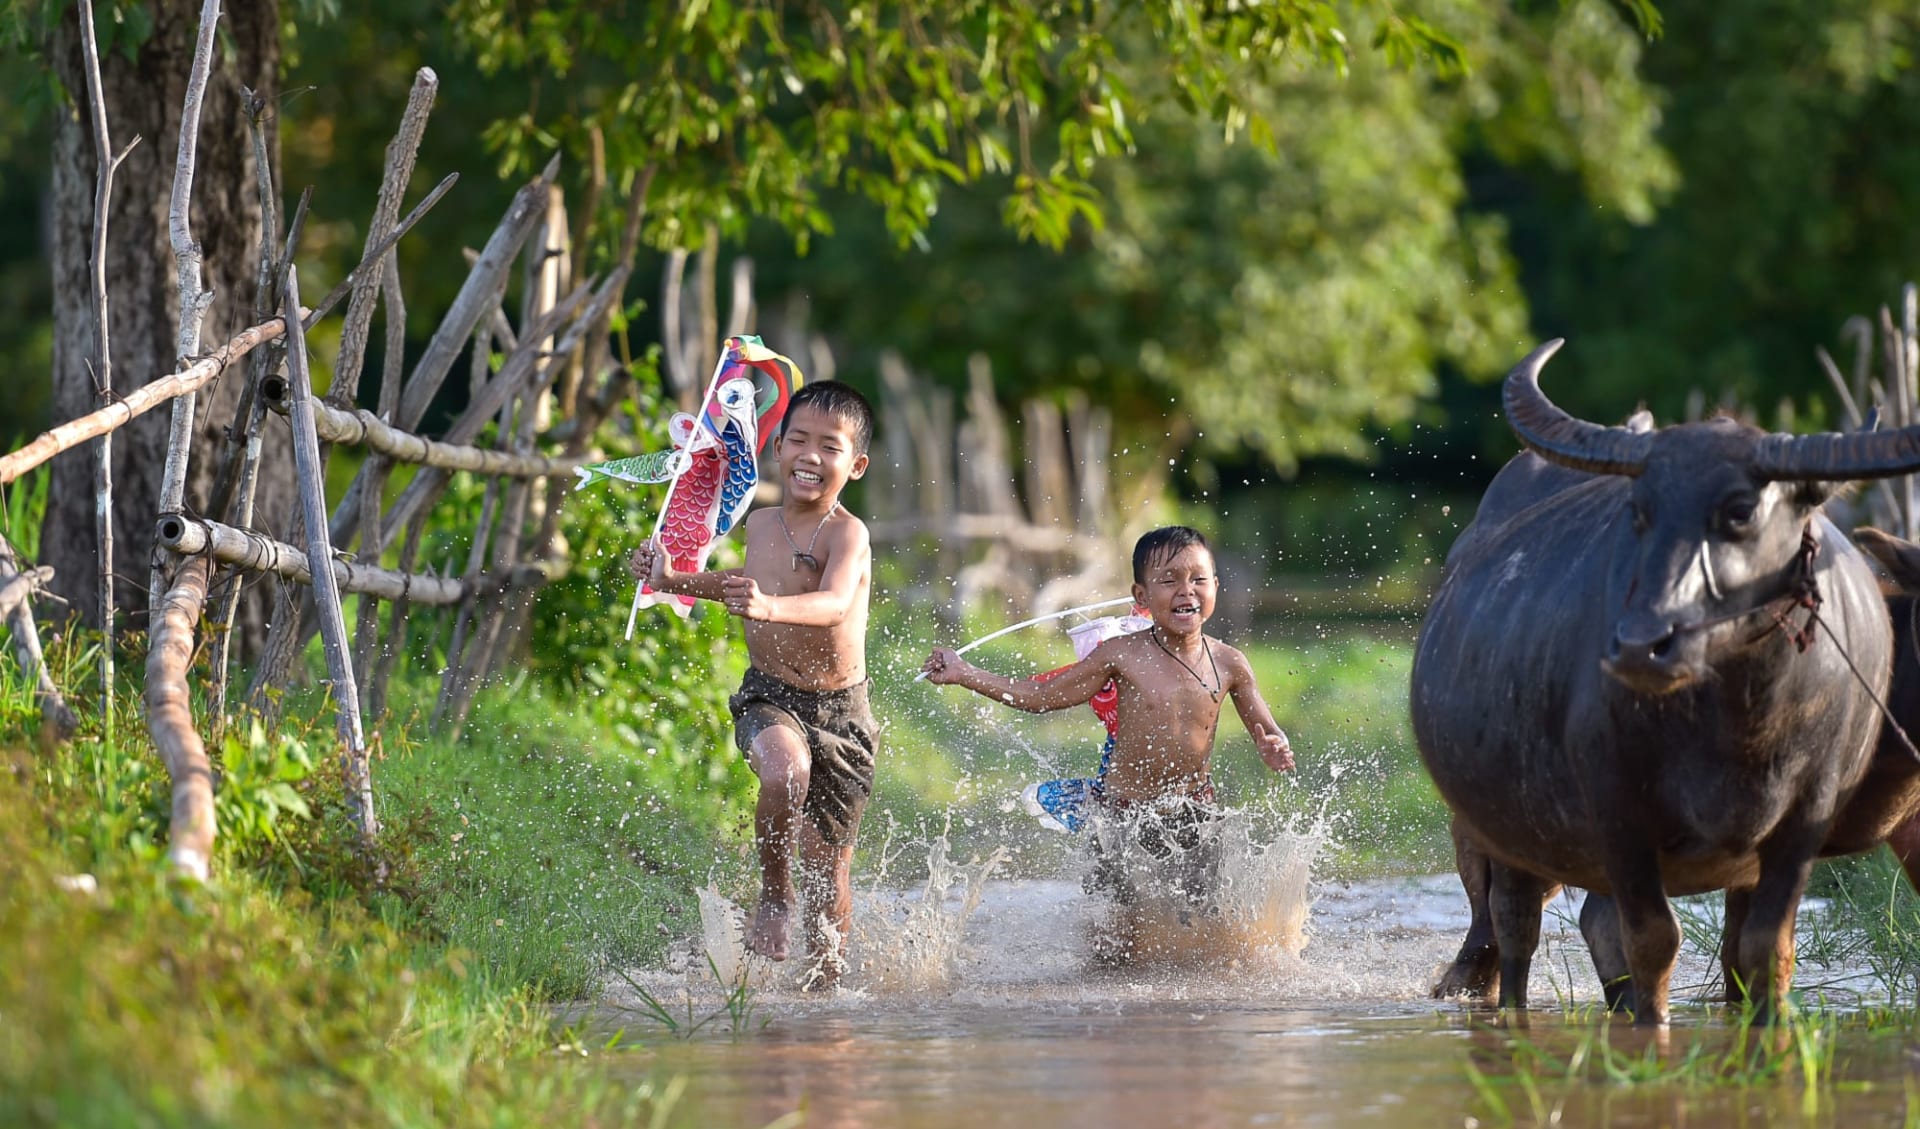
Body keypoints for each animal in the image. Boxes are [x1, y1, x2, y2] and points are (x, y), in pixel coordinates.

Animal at [1413, 337, 1920, 1021]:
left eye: (1741, 511)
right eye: (1640, 513)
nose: (1641, 644)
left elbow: (1752, 954)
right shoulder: (1618, 817)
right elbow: (1642, 937)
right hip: (1509, 820)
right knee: (1513, 923)